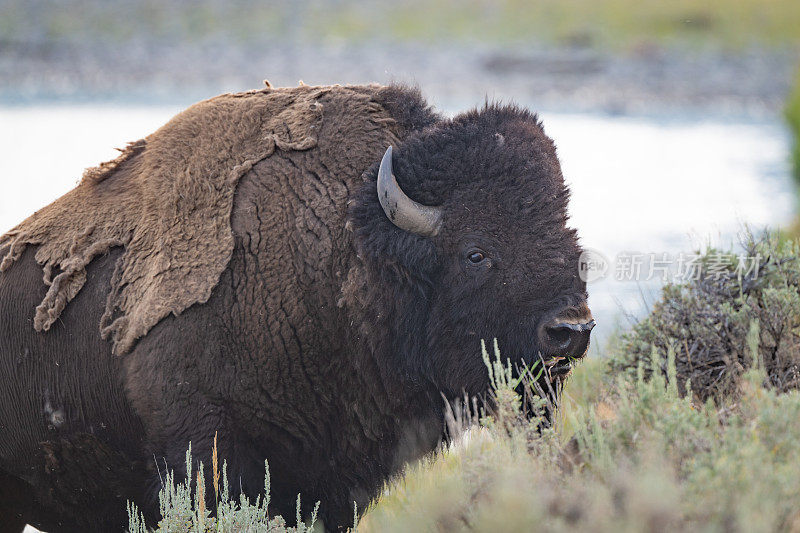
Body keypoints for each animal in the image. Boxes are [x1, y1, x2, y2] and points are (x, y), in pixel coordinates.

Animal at [1, 82, 592, 528]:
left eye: (572, 241)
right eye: (476, 252)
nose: (572, 329)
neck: (341, 253)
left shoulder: (335, 482)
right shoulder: (203, 446)